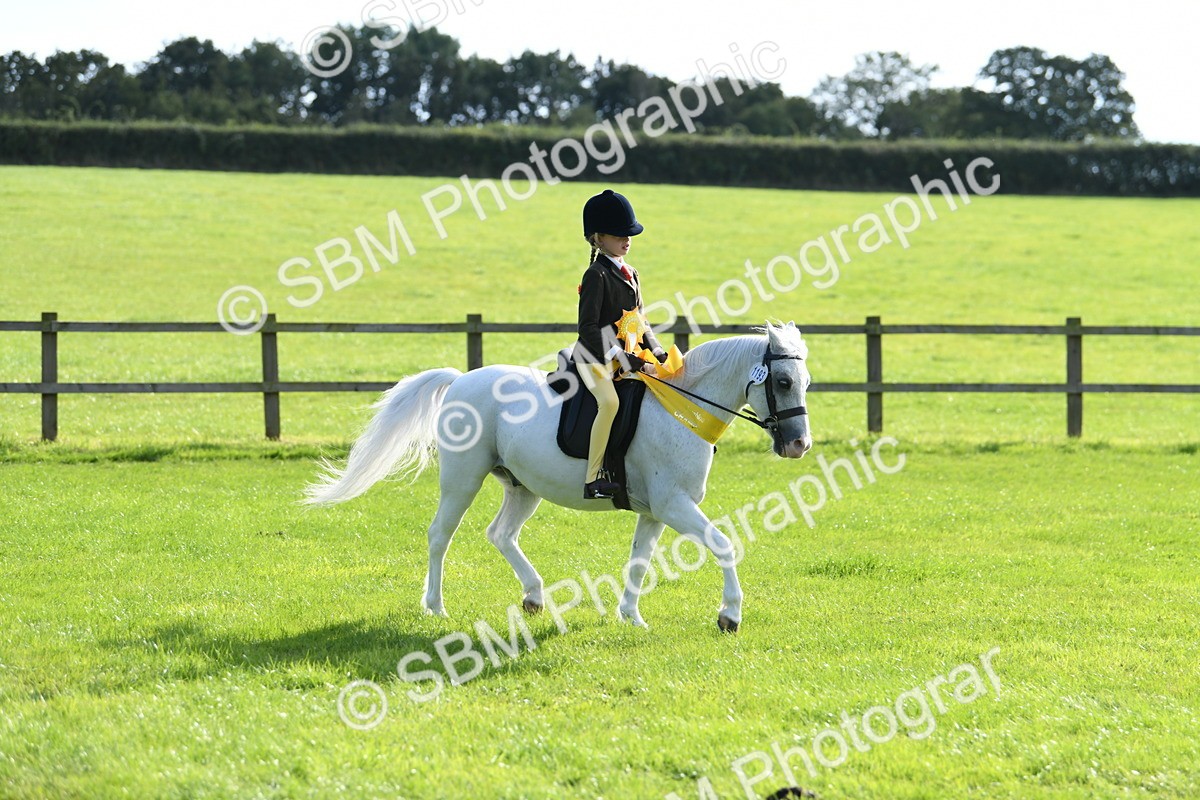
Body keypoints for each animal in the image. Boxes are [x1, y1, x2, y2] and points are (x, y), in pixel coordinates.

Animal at [304, 321, 813, 632]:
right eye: (783, 382)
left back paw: (533, 597)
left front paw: (630, 617)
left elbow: (639, 559)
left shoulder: (657, 511)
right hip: (463, 479)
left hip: (522, 486)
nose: (799, 446)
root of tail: (462, 379)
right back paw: (435, 607)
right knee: (439, 536)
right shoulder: (675, 506)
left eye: (805, 382)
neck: (683, 408)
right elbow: (724, 544)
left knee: (500, 534)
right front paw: (730, 615)